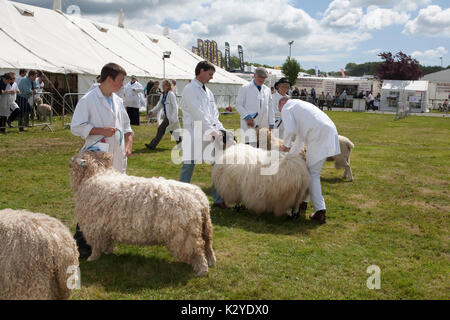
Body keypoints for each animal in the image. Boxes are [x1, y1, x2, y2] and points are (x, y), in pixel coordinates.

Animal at [70, 151, 216, 276]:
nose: (69, 161)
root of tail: (200, 199)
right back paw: (211, 261)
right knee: (208, 244)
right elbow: (108, 242)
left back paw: (202, 270)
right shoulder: (105, 228)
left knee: (197, 251)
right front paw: (108, 252)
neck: (95, 175)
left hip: (185, 235)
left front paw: (92, 258)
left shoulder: (95, 227)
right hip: (205, 227)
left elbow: (96, 247)